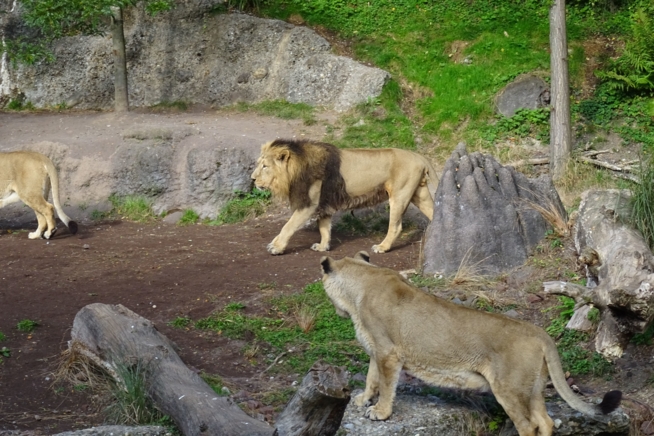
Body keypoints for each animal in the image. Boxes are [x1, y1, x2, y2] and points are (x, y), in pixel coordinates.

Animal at [251, 139, 440, 255]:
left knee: (396, 226)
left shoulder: (309, 205)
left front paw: (276, 247)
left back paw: (382, 247)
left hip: (400, 195)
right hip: (419, 194)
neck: (297, 168)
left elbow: (288, 226)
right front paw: (323, 247)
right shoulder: (324, 203)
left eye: (265, 166)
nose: (252, 179)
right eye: (259, 164)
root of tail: (418, 156)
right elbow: (324, 228)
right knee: (433, 213)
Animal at [320, 252, 624, 436]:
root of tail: (540, 333)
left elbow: (385, 385)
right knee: (545, 422)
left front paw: (381, 413)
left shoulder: (388, 352)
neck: (360, 283)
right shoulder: (376, 349)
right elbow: (371, 378)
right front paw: (363, 399)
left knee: (528, 426)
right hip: (533, 387)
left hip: (509, 388)